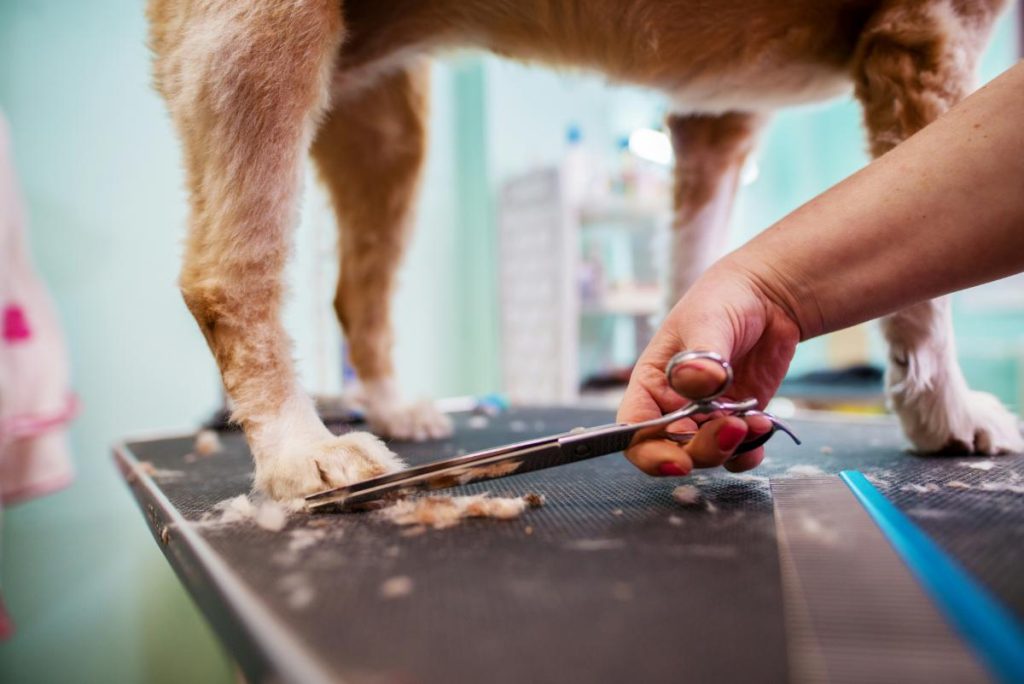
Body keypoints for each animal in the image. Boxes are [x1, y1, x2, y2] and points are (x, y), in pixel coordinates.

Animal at [146, 1, 1024, 501]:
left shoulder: (715, 113)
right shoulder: (926, 38)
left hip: (385, 121)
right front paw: (944, 414)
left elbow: (693, 263)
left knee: (355, 294)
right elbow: (925, 298)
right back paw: (302, 449)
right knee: (225, 274)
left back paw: (394, 408)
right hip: (256, 40)